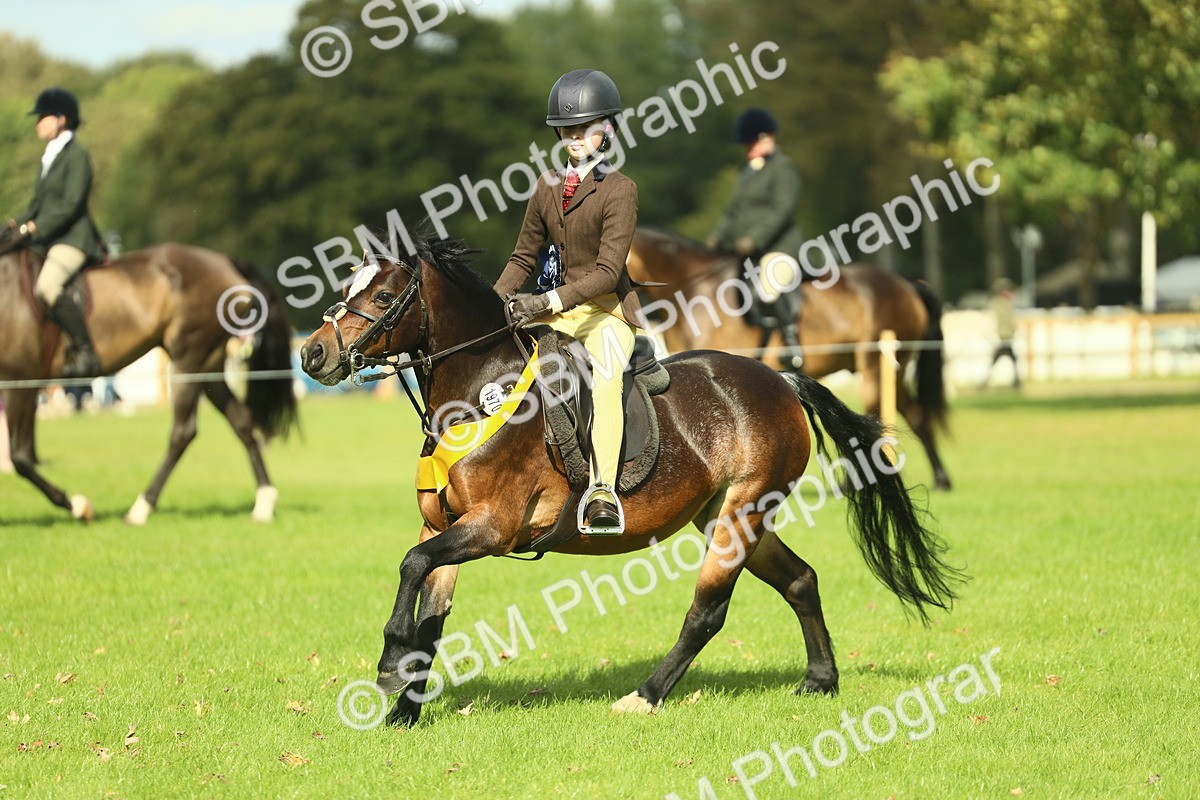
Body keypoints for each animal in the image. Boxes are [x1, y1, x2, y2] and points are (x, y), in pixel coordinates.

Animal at [0, 238, 297, 523]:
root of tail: (226, 263)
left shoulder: (22, 381)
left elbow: (21, 457)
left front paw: (77, 505)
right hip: (209, 366)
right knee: (241, 422)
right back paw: (264, 502)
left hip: (189, 360)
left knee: (183, 432)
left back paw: (140, 508)